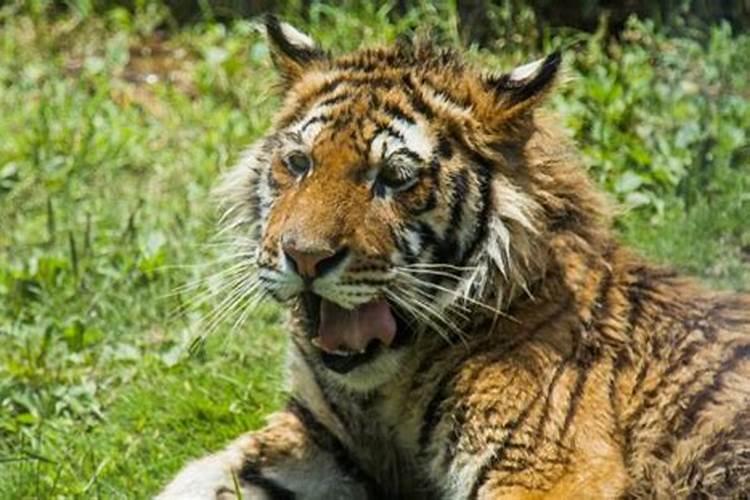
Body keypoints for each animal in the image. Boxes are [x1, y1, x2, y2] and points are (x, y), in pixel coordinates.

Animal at [158, 16, 750, 500]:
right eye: (299, 163)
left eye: (393, 178)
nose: (303, 258)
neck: (387, 389)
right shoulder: (324, 436)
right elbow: (200, 478)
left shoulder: (548, 469)